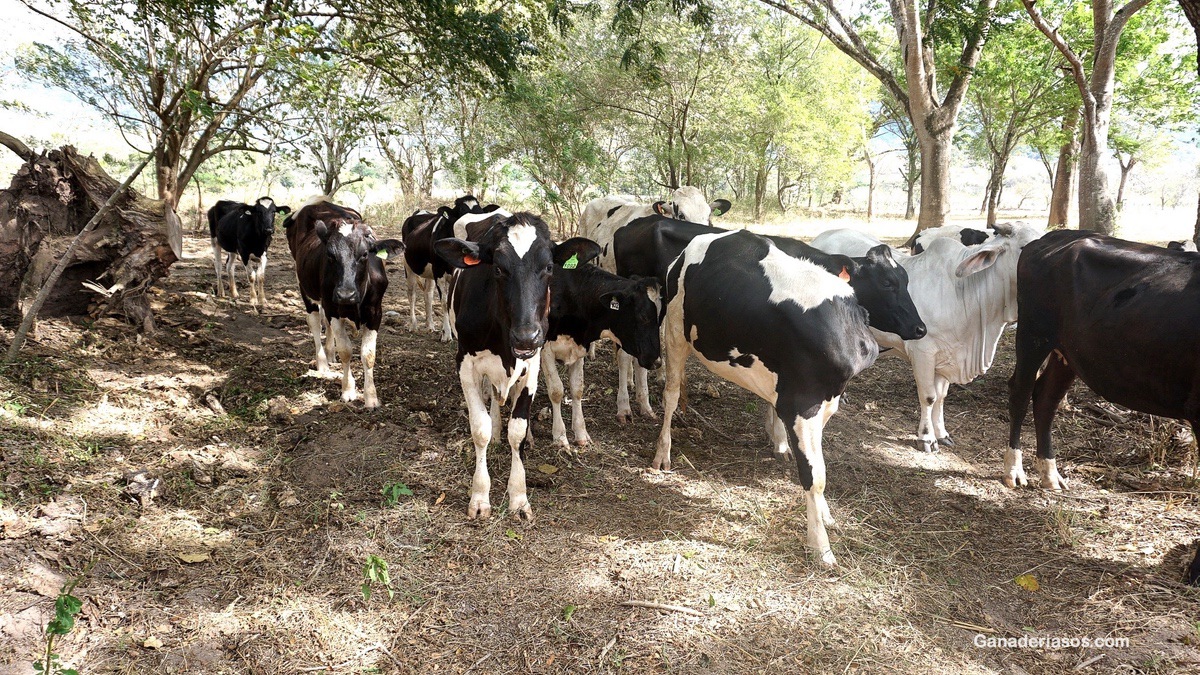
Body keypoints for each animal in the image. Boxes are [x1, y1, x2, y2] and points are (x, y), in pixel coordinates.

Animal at [285, 194, 403, 403]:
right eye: (330, 255)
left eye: (364, 254)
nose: (345, 294)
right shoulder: (333, 308)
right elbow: (346, 350)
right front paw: (348, 389)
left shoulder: (375, 312)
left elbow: (368, 354)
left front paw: (371, 397)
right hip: (305, 287)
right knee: (315, 322)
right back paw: (323, 363)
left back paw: (330, 354)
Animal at [436, 212, 595, 516]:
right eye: (498, 269)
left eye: (549, 267)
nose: (526, 336)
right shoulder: (465, 364)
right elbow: (480, 428)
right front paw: (479, 496)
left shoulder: (532, 365)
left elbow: (517, 430)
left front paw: (519, 496)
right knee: (490, 398)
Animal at [652, 228, 878, 564]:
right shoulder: (800, 405)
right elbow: (814, 475)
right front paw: (820, 546)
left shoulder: (824, 404)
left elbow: (820, 468)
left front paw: (825, 516)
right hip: (675, 331)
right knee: (670, 393)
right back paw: (662, 452)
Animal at [811, 222, 1046, 451]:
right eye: (1025, 247)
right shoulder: (923, 353)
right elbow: (929, 397)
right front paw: (926, 437)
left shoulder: (947, 356)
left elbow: (941, 398)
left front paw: (942, 434)